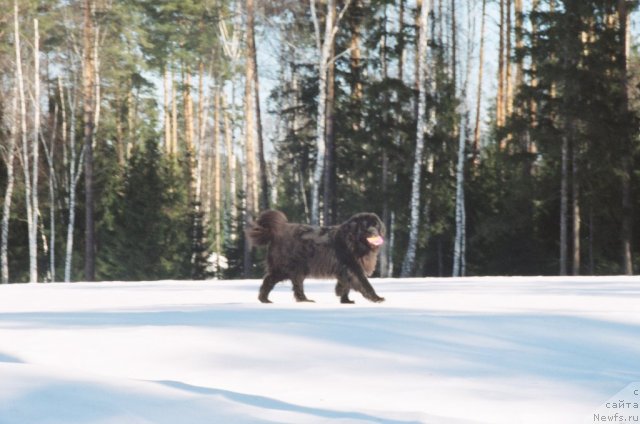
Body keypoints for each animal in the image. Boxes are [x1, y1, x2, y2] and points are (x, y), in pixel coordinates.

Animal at [246, 210, 384, 304]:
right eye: (366, 226)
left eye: (376, 225)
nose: (374, 232)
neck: (354, 240)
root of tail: (276, 232)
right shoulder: (353, 266)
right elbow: (364, 283)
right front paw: (377, 298)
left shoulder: (345, 269)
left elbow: (345, 284)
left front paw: (344, 299)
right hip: (287, 268)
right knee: (273, 280)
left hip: (295, 269)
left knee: (292, 284)